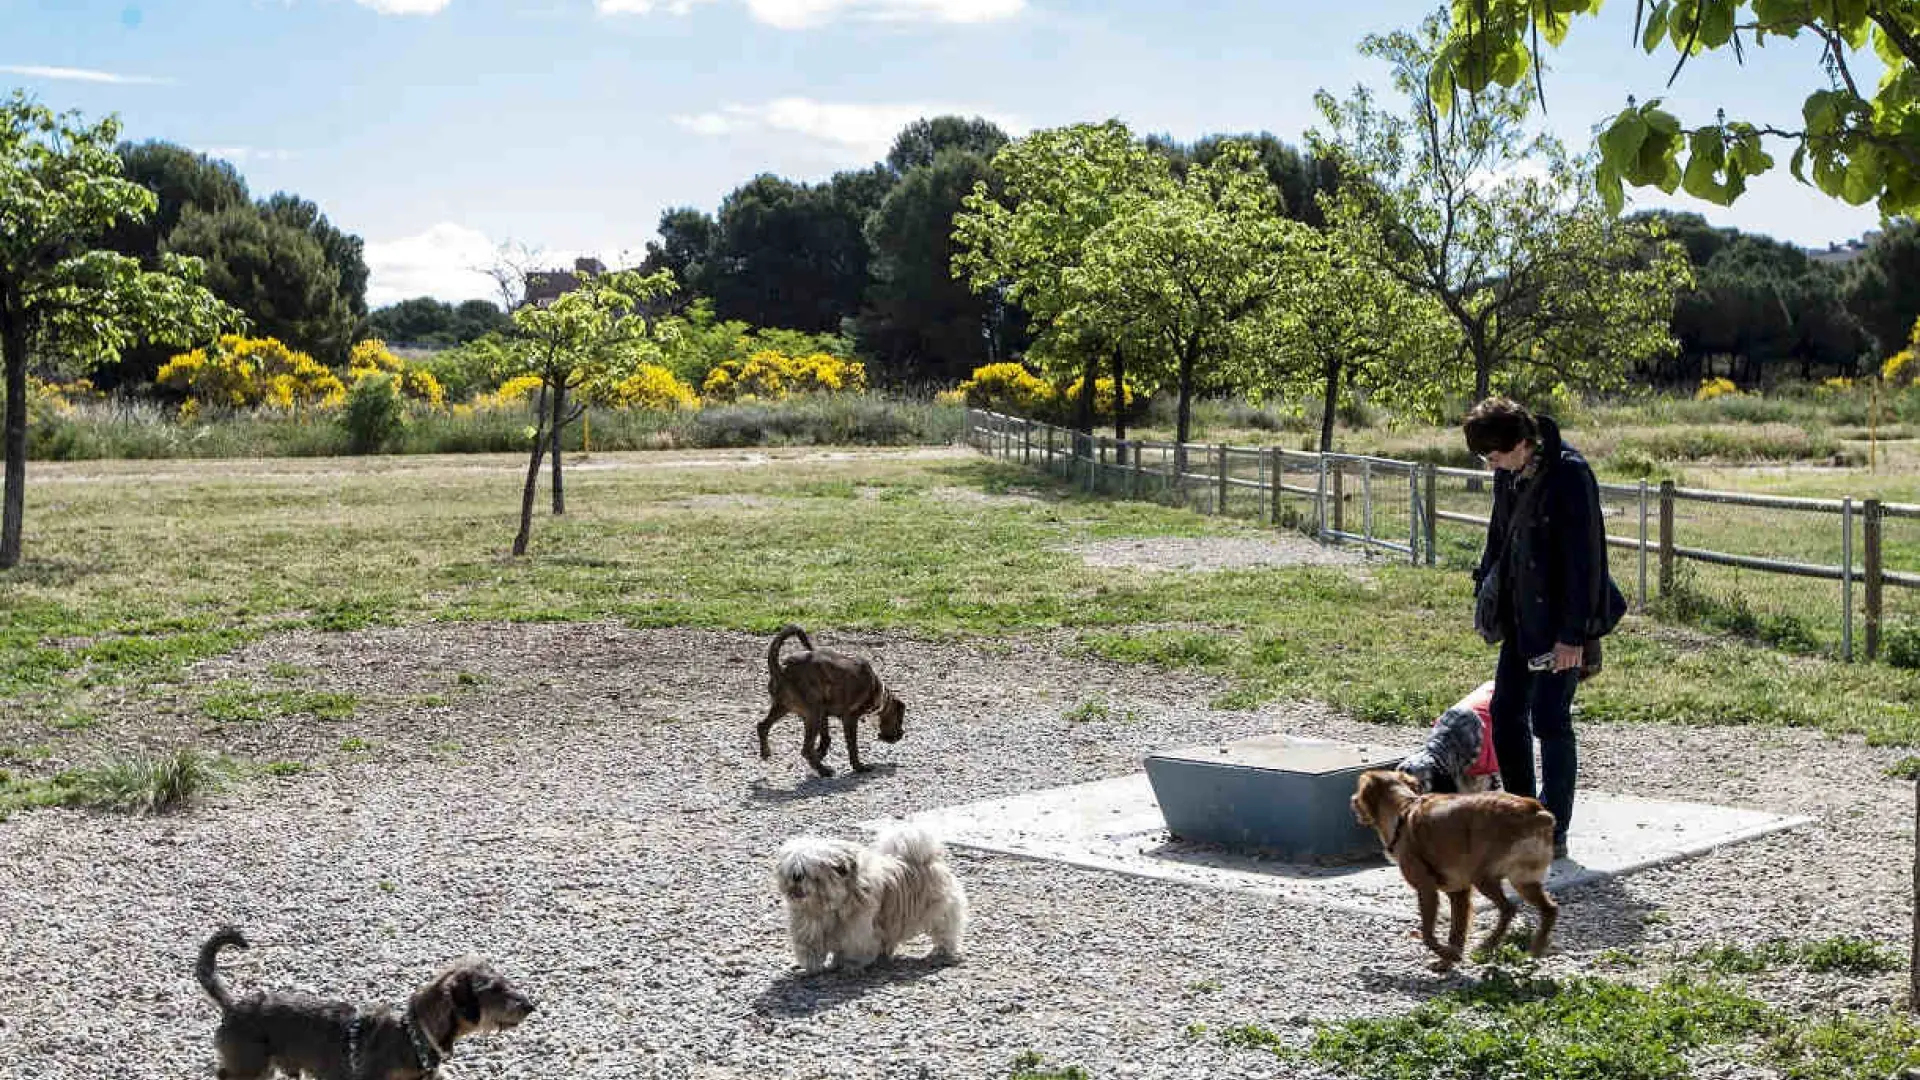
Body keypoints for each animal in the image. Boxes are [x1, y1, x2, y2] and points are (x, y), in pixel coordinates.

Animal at [195, 926, 537, 1076]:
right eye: (493, 989)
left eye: (506, 982)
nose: (529, 1005)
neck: (413, 1038)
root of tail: (234, 1006)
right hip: (249, 1067)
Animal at [756, 622, 906, 772]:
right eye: (899, 719)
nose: (901, 735)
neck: (878, 690)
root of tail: (782, 670)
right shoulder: (849, 719)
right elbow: (852, 746)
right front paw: (858, 766)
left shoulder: (824, 714)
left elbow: (826, 738)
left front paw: (820, 754)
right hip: (812, 714)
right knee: (806, 749)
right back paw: (823, 771)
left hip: (784, 708)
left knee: (762, 726)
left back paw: (766, 752)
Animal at [771, 818, 967, 972]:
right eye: (791, 869)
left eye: (809, 870)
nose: (796, 877)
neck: (827, 907)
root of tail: (927, 858)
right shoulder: (809, 928)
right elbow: (810, 948)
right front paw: (814, 966)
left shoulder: (858, 931)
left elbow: (855, 948)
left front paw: (851, 965)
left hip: (940, 911)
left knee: (945, 929)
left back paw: (943, 950)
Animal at [1351, 764, 1559, 968]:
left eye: (1358, 791)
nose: (1352, 800)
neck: (1402, 810)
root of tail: (1536, 812)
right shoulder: (1458, 891)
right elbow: (1457, 931)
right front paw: (1449, 958)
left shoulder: (1426, 888)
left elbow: (1427, 935)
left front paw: (1447, 955)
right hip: (1524, 880)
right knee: (1549, 909)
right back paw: (1537, 945)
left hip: (1484, 877)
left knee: (1509, 908)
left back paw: (1489, 944)